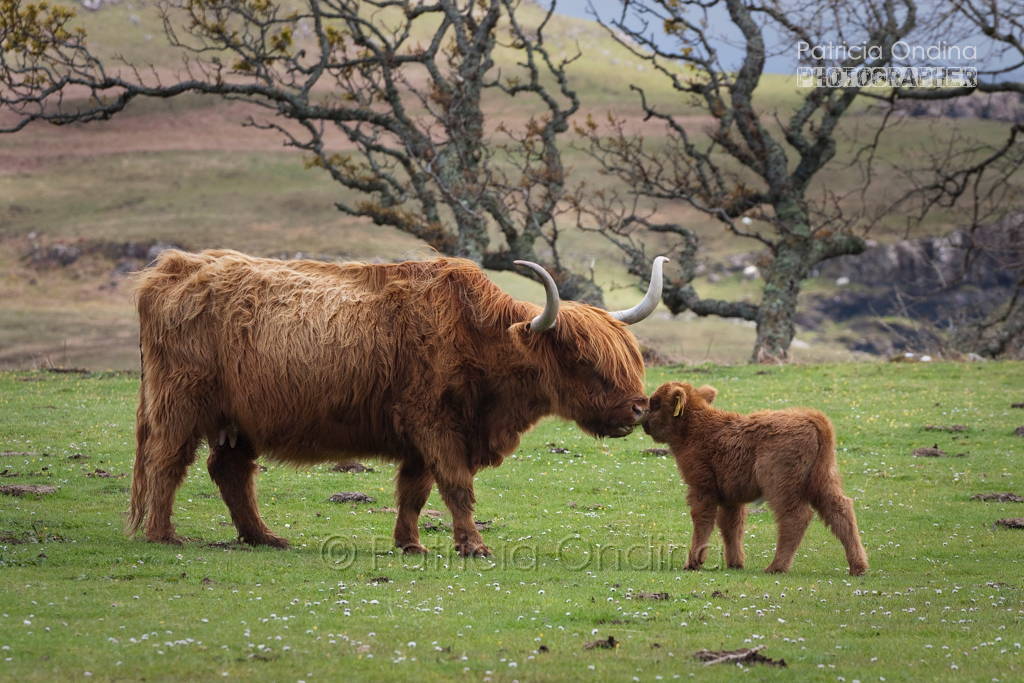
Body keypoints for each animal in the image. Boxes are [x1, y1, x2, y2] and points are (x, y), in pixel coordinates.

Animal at [128, 250, 668, 557]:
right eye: (581, 358)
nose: (638, 408)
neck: (478, 339)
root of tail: (171, 270)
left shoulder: (423, 436)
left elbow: (415, 491)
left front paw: (410, 544)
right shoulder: (434, 424)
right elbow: (456, 487)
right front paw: (474, 546)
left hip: (239, 419)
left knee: (230, 470)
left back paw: (264, 537)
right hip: (180, 403)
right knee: (166, 462)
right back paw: (162, 535)